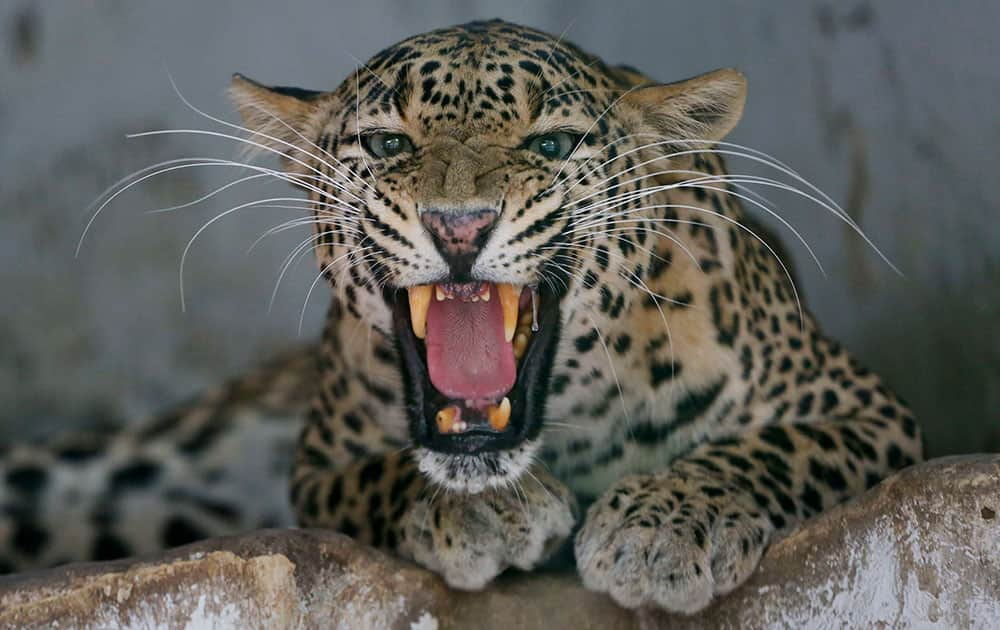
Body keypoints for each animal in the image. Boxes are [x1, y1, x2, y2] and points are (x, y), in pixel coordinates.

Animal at [0, 19, 920, 616]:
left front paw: (664, 526)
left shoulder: (868, 409)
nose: (460, 225)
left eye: (550, 145)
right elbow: (385, 473)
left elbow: (768, 450)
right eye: (387, 145)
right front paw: (484, 511)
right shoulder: (315, 470)